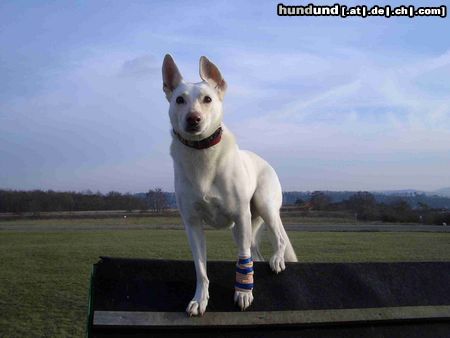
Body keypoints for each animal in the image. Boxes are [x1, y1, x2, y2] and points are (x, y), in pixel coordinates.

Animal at [163, 55, 298, 316]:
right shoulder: (192, 224)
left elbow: (243, 259)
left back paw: (277, 260)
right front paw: (200, 299)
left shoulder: (240, 215)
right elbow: (201, 269)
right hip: (241, 228)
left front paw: (243, 293)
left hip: (263, 207)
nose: (193, 119)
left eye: (207, 99)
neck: (202, 153)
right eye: (179, 100)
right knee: (256, 253)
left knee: (278, 239)